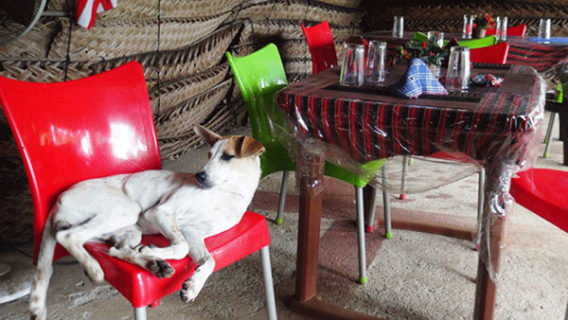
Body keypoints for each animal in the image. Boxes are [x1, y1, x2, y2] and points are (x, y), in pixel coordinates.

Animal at [28, 125, 264, 320]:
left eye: (227, 157)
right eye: (209, 155)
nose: (200, 176)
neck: (227, 193)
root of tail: (57, 201)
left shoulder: (193, 232)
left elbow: (209, 260)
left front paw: (193, 286)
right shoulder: (159, 212)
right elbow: (181, 247)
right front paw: (157, 251)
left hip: (130, 231)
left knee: (114, 250)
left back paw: (153, 264)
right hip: (127, 211)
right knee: (68, 236)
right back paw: (95, 267)